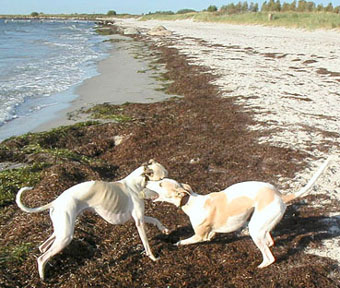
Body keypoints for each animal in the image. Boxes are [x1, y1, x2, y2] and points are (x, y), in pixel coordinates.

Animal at [16, 159, 168, 280]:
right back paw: (43, 278)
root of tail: (56, 201)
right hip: (65, 236)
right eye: (161, 179)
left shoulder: (137, 218)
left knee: (42, 247)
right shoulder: (139, 222)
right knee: (42, 257)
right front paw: (153, 257)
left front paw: (164, 229)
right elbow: (146, 244)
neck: (135, 184)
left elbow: (155, 219)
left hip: (61, 230)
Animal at [145, 158, 330, 268]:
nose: (146, 181)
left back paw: (261, 266)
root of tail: (281, 196)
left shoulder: (199, 235)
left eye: (161, 184)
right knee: (270, 240)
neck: (192, 201)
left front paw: (177, 243)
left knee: (269, 257)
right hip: (260, 224)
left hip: (256, 230)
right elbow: (212, 235)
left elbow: (187, 240)